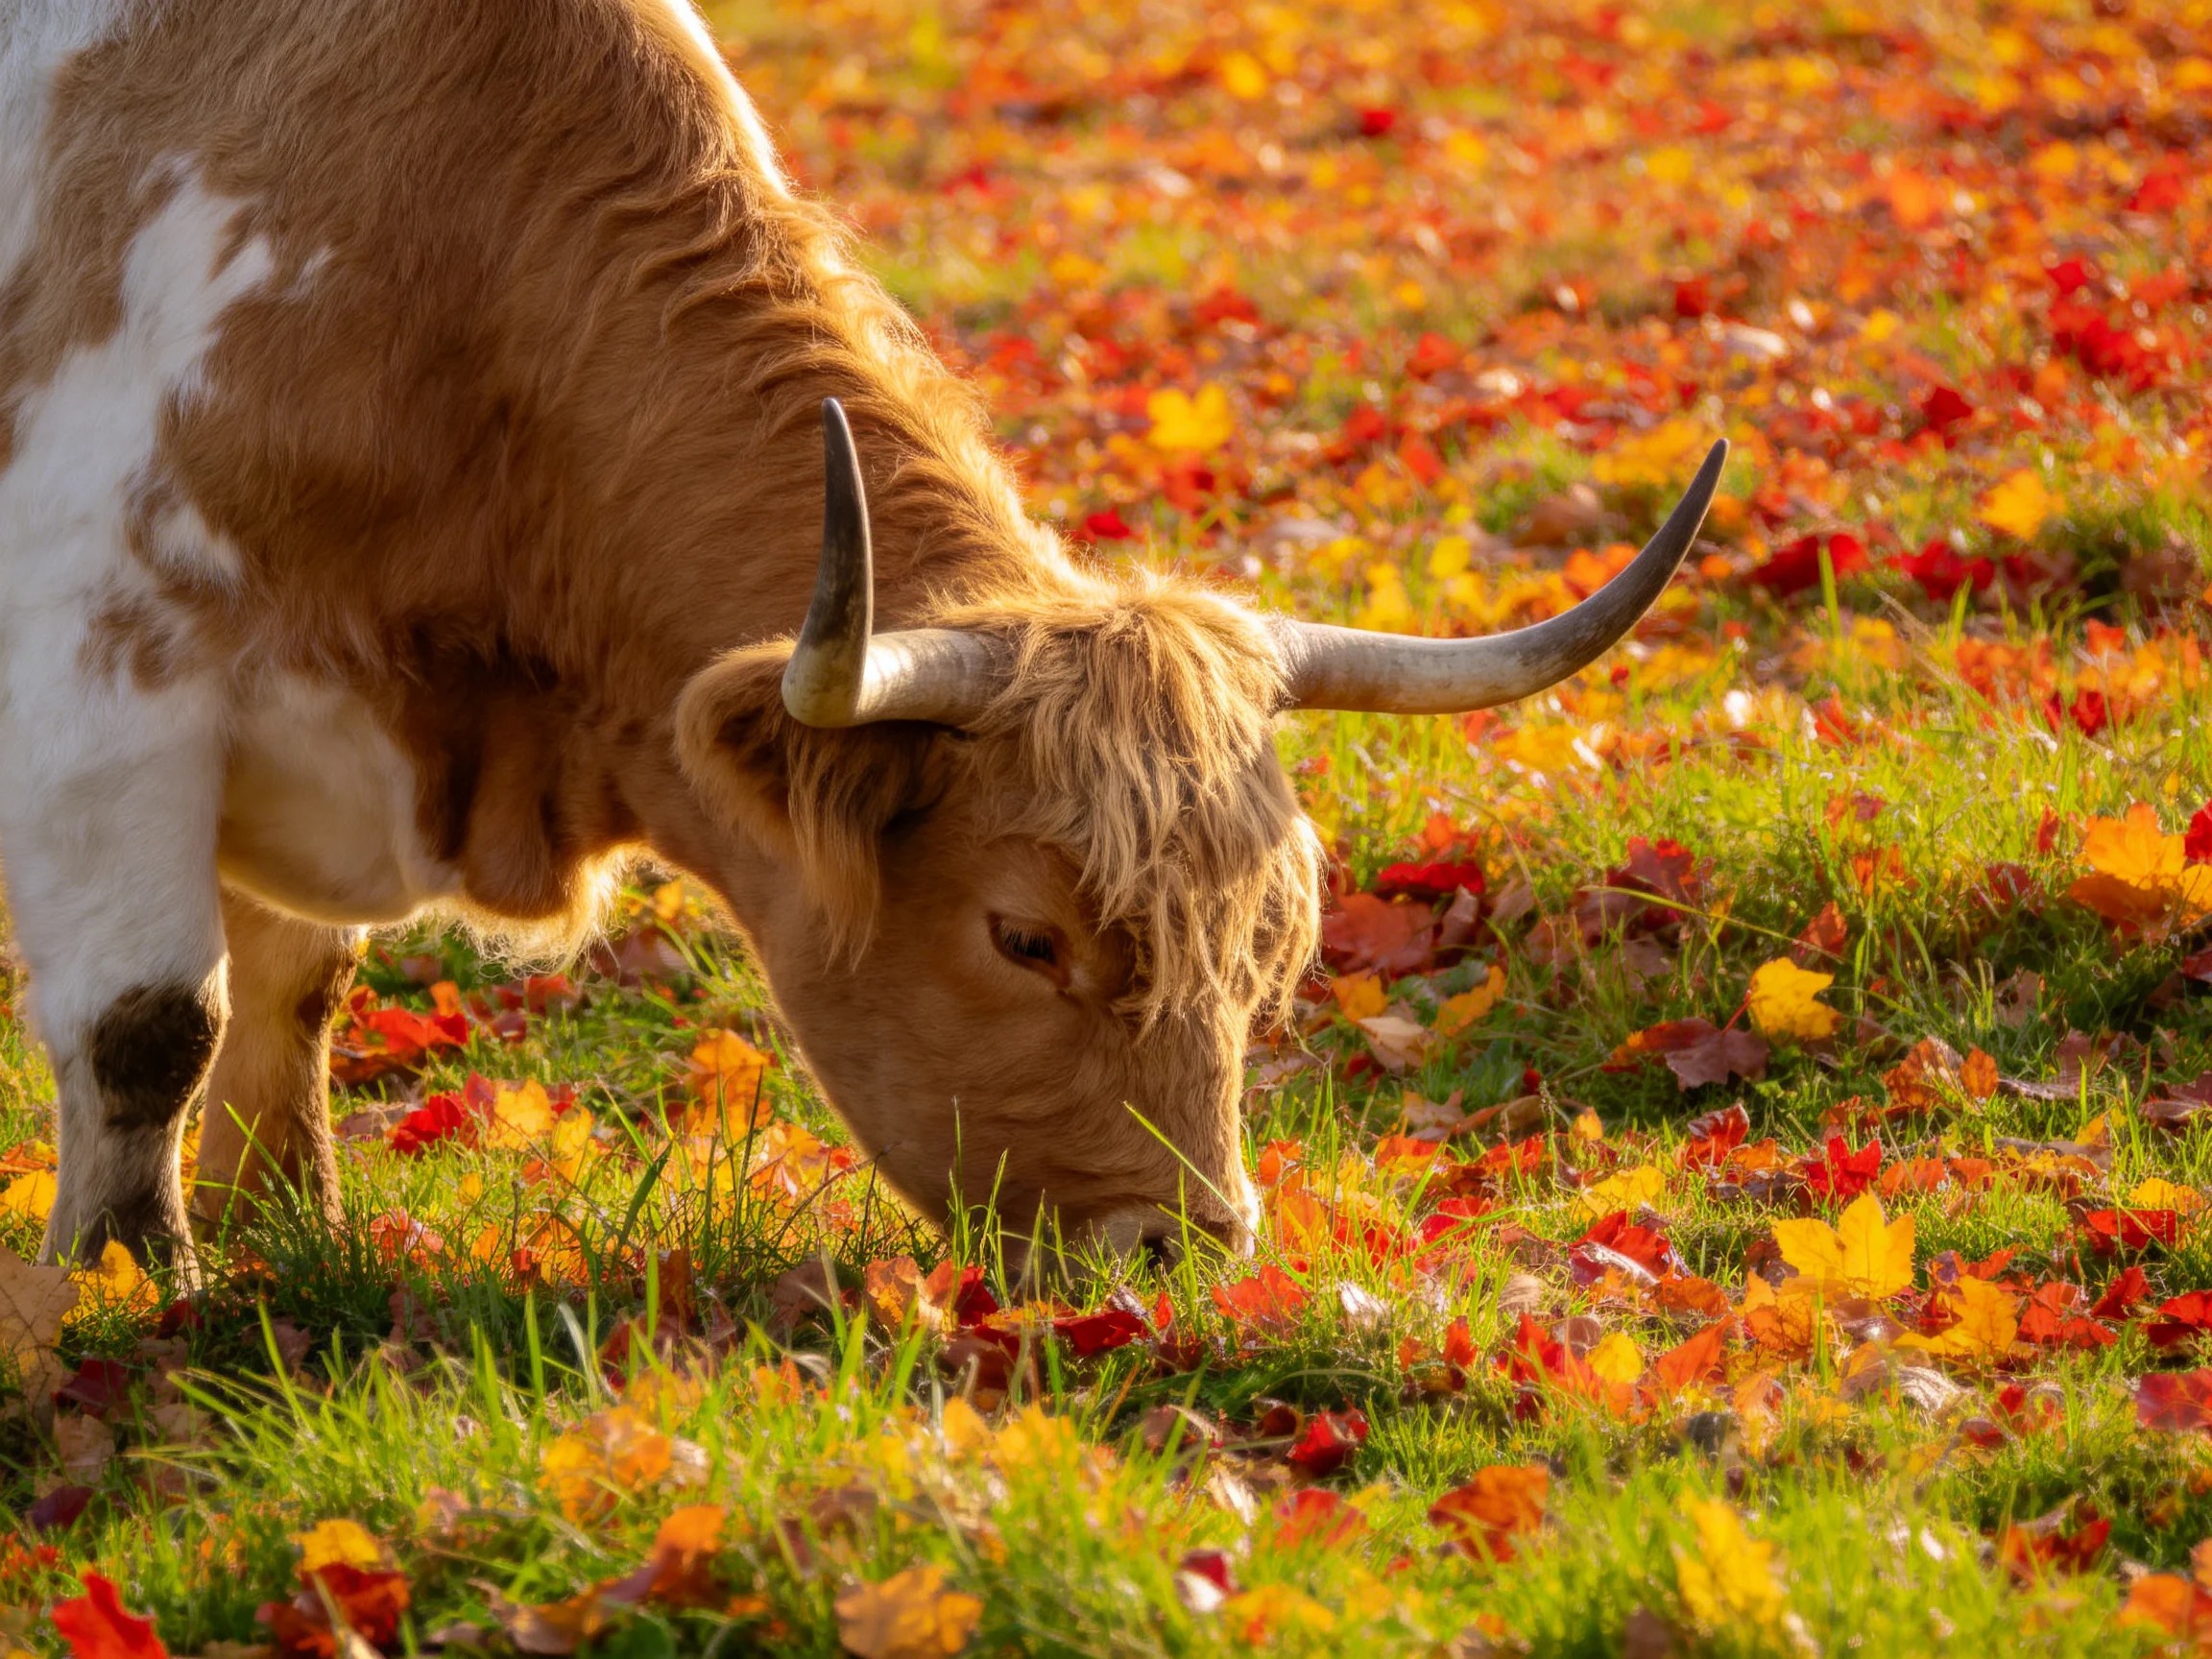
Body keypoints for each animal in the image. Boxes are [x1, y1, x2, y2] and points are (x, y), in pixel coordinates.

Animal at [0, 0, 1722, 1279]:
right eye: (1021, 935)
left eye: (1269, 937)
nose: (1182, 1248)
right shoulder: (104, 688)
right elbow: (156, 1023)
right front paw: (129, 1297)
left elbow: (290, 999)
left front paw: (282, 1230)